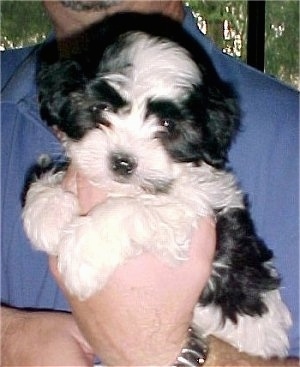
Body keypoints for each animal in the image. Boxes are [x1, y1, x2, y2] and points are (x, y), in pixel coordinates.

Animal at [22, 12, 292, 358]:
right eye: (102, 108)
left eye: (166, 124)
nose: (123, 162)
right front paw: (47, 210)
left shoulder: (195, 208)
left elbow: (135, 210)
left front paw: (83, 251)